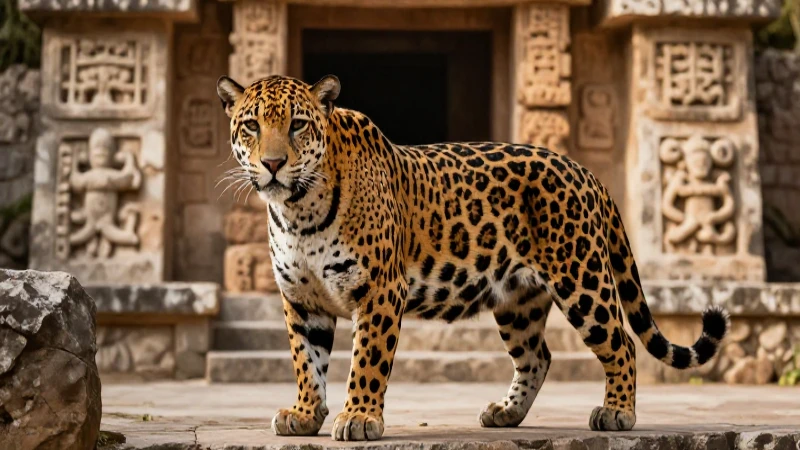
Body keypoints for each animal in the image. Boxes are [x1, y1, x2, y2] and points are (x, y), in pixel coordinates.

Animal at [215, 74, 730, 442]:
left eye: (298, 125)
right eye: (252, 126)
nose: (274, 164)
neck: (297, 211)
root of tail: (585, 172)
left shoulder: (381, 290)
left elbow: (366, 360)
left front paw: (359, 417)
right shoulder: (301, 299)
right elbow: (307, 362)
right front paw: (305, 414)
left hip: (581, 278)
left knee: (621, 342)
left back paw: (617, 412)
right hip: (518, 300)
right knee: (537, 356)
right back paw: (505, 413)